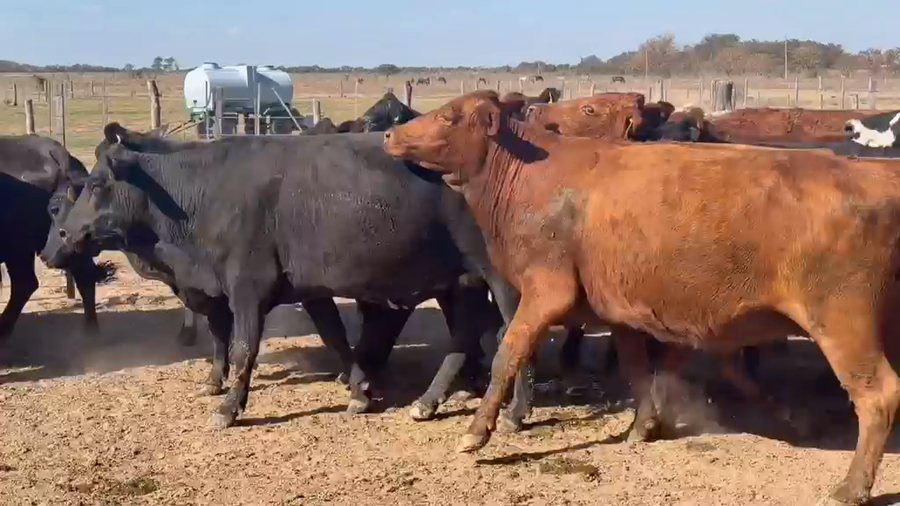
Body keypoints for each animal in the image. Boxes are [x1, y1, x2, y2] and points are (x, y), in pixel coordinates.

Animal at [44, 131, 520, 429]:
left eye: (97, 184)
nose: (63, 236)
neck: (204, 193)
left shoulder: (245, 291)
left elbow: (242, 350)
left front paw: (229, 408)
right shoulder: (310, 290)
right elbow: (335, 337)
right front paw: (359, 390)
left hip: (494, 281)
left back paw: (509, 409)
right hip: (459, 284)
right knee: (465, 338)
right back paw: (431, 401)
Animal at [384, 90, 900, 506]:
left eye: (449, 116)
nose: (389, 134)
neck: (538, 176)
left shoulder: (545, 291)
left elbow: (507, 354)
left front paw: (477, 433)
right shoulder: (620, 311)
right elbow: (636, 370)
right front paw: (643, 427)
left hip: (842, 322)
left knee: (878, 395)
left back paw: (853, 487)